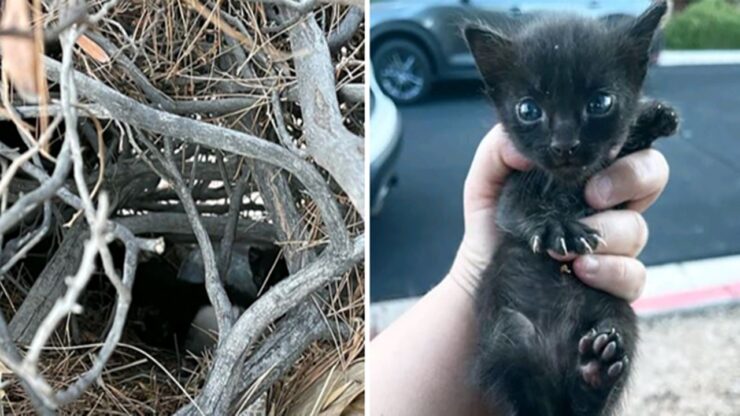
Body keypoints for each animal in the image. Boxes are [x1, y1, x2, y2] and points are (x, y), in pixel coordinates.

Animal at [466, 1, 680, 414]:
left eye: (599, 103)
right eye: (529, 110)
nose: (564, 144)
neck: (567, 184)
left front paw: (651, 118)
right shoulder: (511, 188)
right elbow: (517, 211)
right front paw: (557, 228)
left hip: (619, 317)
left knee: (589, 399)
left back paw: (596, 369)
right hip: (505, 334)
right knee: (521, 393)